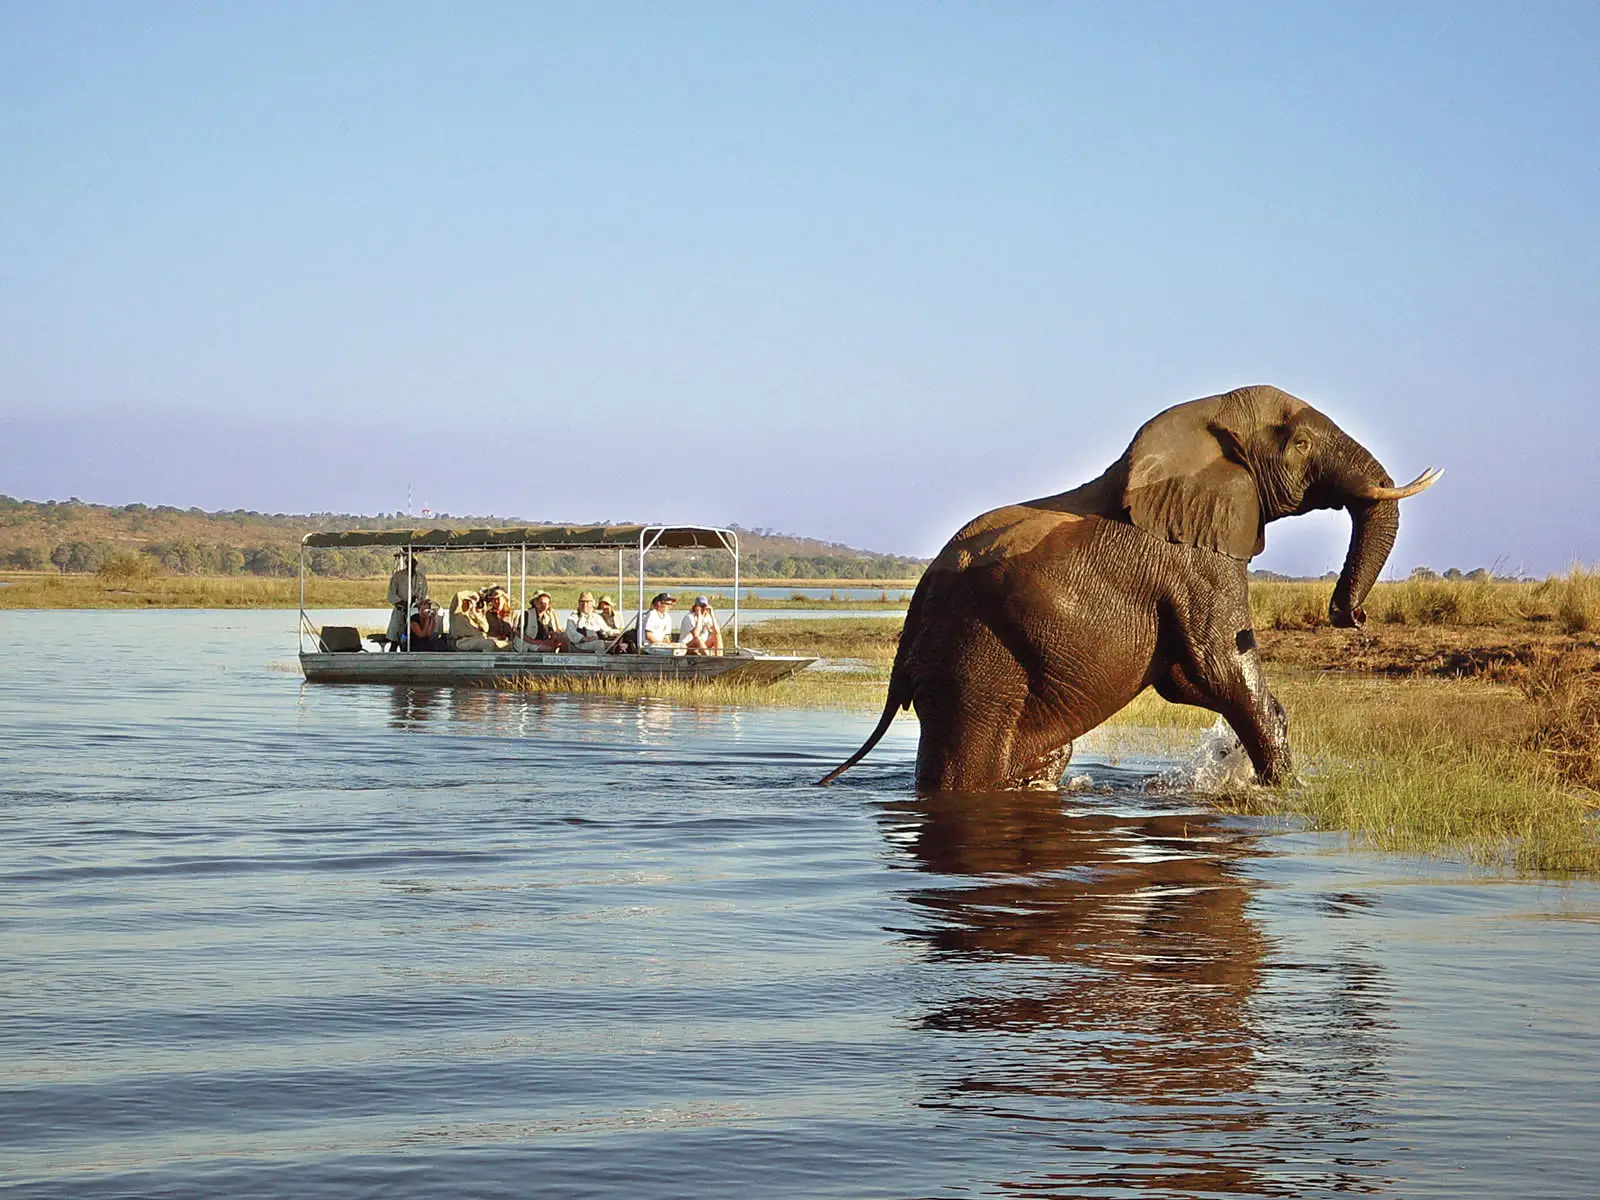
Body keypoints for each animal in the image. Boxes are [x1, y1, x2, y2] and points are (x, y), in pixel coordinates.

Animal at [820, 385, 1440, 792]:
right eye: (1303, 444)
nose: (1350, 615)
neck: (1202, 421)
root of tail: (911, 621)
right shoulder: (1196, 559)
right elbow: (1220, 669)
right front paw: (1285, 794)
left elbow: (1188, 679)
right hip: (972, 663)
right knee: (968, 763)